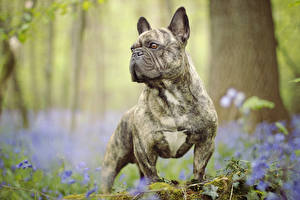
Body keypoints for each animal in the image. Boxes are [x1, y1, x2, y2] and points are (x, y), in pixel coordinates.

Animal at [99, 7, 217, 193]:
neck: (169, 92)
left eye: (153, 45)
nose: (136, 53)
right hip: (113, 158)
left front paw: (198, 183)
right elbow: (150, 169)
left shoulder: (207, 139)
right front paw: (156, 185)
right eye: (131, 48)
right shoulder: (145, 146)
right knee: (109, 177)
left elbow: (199, 164)